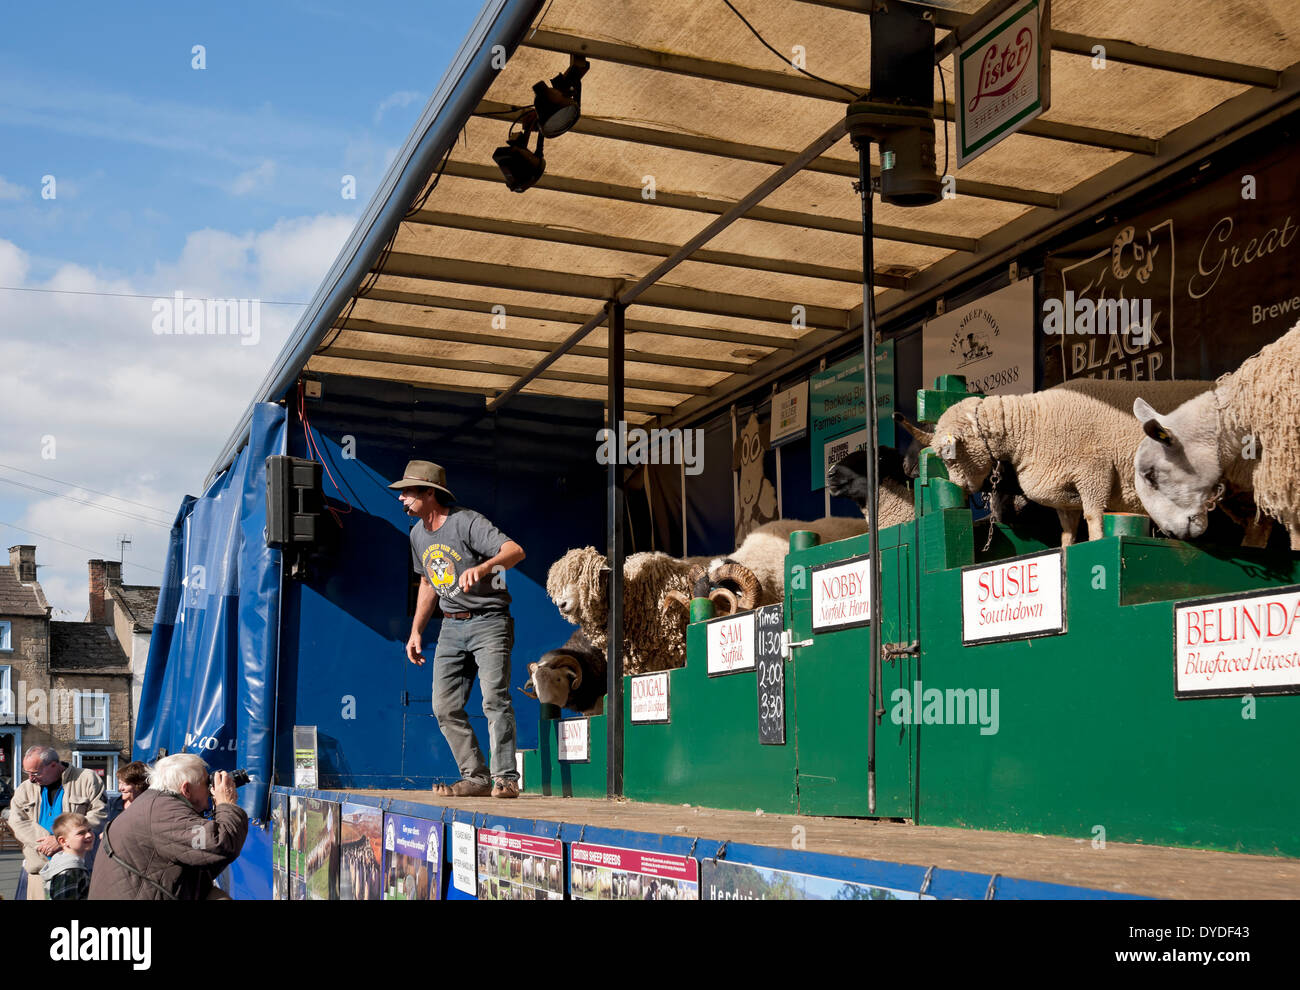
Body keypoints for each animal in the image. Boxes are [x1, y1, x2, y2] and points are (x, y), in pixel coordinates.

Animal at [930, 379, 1211, 548]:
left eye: (948, 455)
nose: (961, 488)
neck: (1029, 425)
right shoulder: (1063, 495)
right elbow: (1067, 531)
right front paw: (1064, 553)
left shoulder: (1094, 473)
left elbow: (1093, 517)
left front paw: (1095, 544)